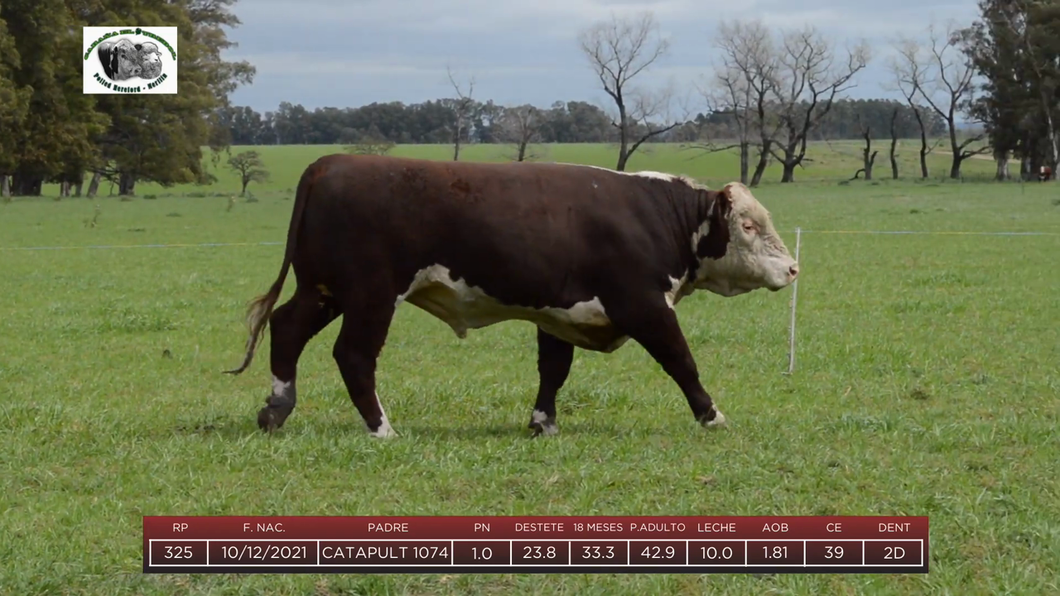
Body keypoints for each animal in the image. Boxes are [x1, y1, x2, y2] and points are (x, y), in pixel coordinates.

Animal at [227, 153, 797, 436]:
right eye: (748, 225)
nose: (792, 267)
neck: (655, 217)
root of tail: (331, 162)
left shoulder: (560, 312)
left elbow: (554, 371)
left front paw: (542, 423)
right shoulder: (644, 306)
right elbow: (682, 362)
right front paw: (711, 415)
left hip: (324, 288)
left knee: (287, 327)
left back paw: (276, 410)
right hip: (370, 294)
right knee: (353, 355)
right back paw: (381, 426)